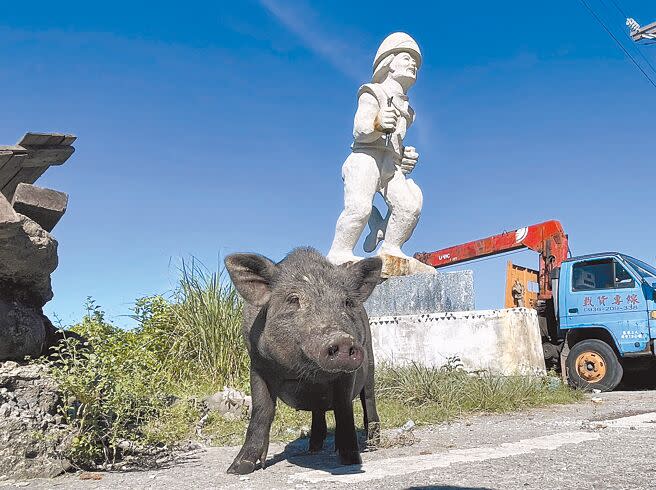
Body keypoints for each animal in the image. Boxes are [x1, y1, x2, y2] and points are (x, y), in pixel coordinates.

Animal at [224, 249, 382, 474]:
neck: (305, 372)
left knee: (368, 398)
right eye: (293, 299)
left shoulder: (348, 374)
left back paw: (373, 442)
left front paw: (351, 460)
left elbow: (344, 409)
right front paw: (238, 469)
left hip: (370, 362)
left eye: (347, 302)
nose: (342, 339)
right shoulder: (258, 364)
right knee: (318, 409)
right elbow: (261, 412)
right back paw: (313, 447)